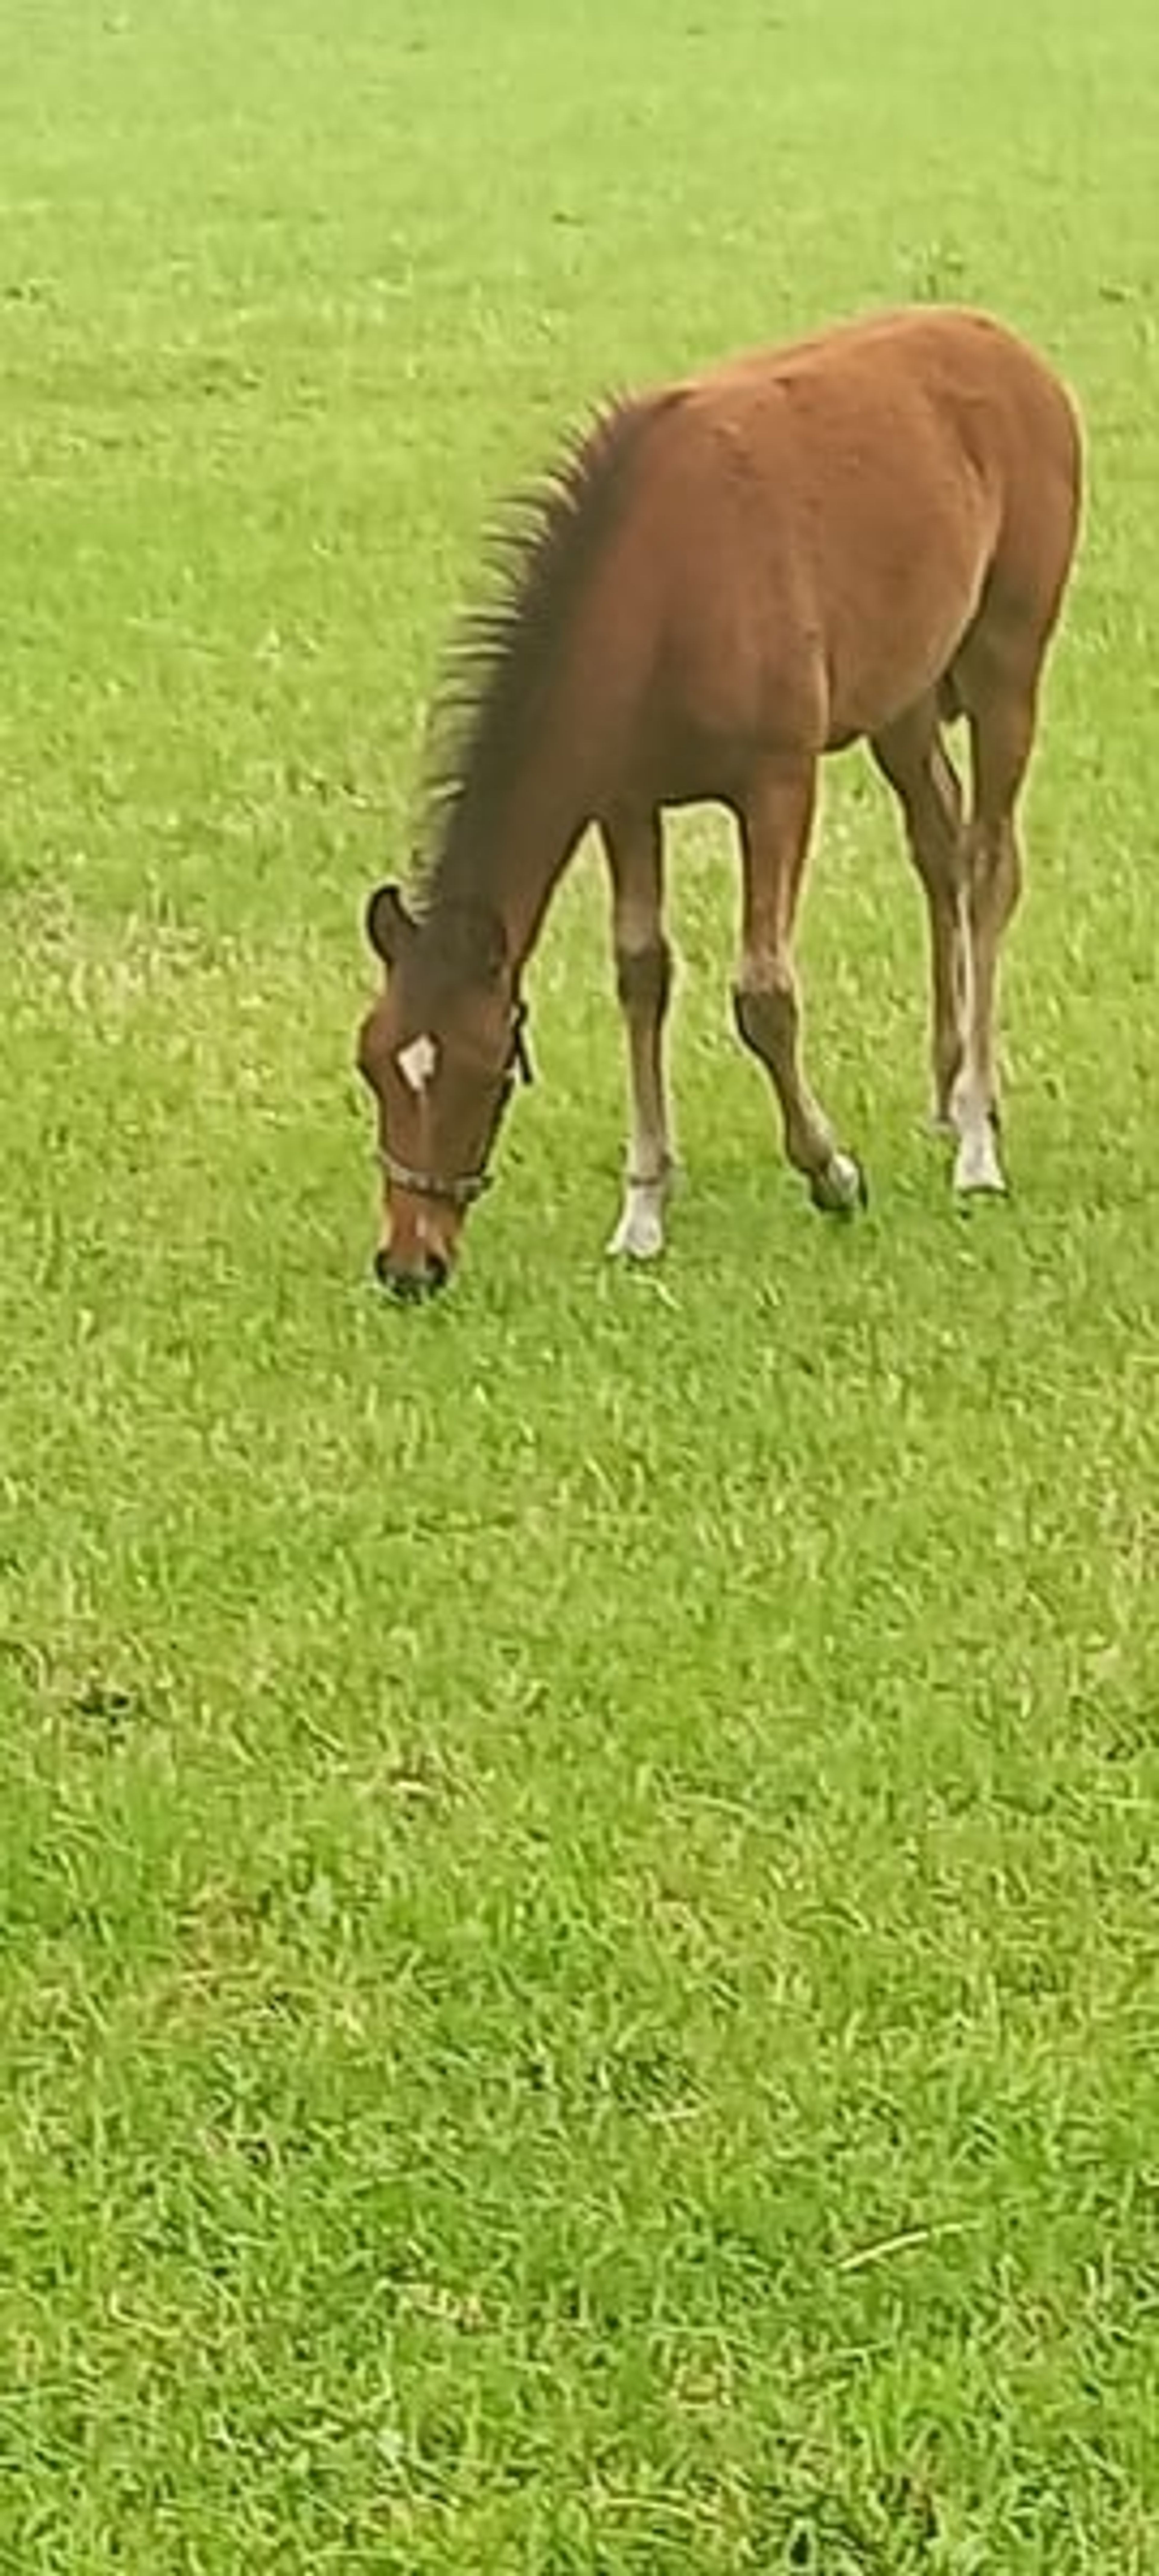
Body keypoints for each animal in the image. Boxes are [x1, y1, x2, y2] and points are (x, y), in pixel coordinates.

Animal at [357, 305, 1082, 1298]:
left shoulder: (777, 784)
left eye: (483, 1072)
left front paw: (831, 1172)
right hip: (901, 694)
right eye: (372, 1067)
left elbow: (763, 995)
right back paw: (943, 1096)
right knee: (936, 848)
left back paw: (976, 1134)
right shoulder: (624, 799)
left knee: (987, 867)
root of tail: (1006, 344)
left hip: (1007, 661)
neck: (662, 591)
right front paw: (642, 1210)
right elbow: (640, 974)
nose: (409, 1264)